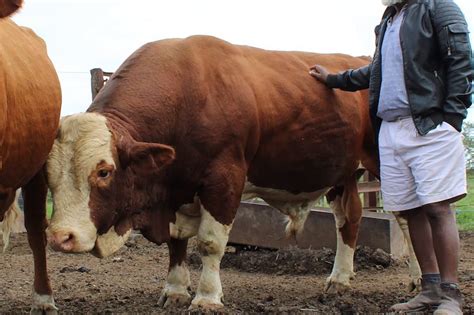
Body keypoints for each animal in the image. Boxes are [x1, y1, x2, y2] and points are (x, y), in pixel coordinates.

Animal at [48, 36, 402, 312]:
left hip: (384, 162)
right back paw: (339, 280)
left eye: (104, 171)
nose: (60, 237)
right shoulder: (175, 189)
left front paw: (206, 297)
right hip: (341, 175)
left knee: (404, 218)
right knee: (348, 219)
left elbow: (209, 243)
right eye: (49, 176)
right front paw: (175, 291)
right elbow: (176, 243)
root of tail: (362, 59)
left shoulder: (224, 180)